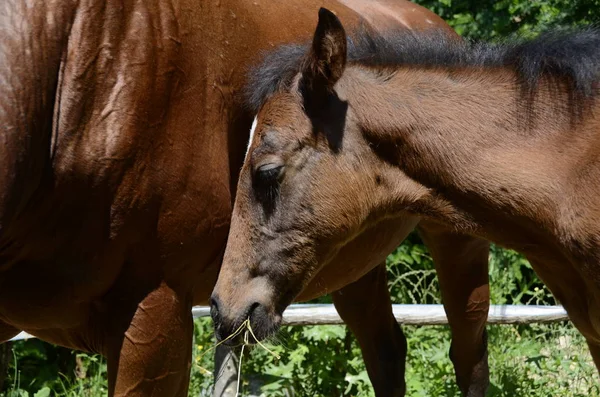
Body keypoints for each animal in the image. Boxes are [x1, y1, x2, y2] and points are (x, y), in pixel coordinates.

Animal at [0, 0, 488, 394]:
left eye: (266, 173)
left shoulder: (153, 319)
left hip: (457, 238)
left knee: (468, 354)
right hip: (347, 259)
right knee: (385, 351)